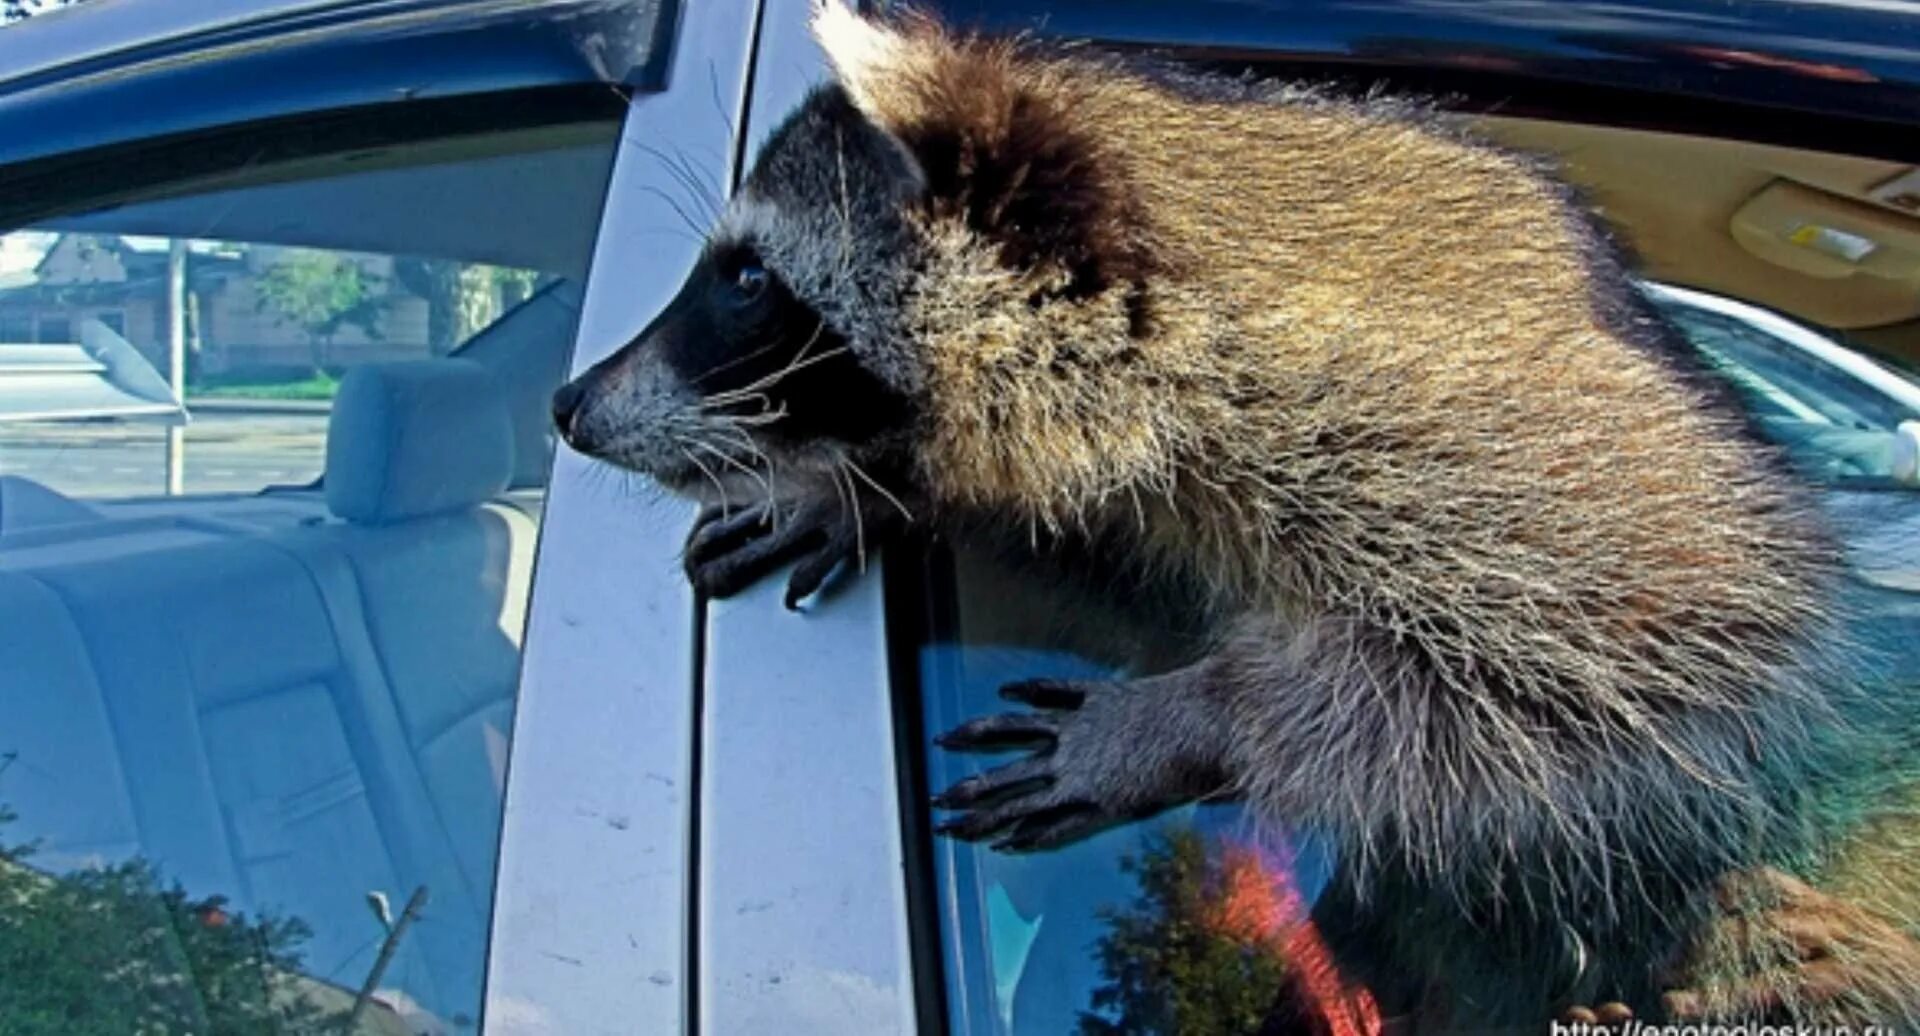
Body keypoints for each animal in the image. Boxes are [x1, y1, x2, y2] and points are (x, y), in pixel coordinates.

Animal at [552, 2, 1920, 1028]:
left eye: (744, 279)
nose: (568, 405)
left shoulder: (1512, 454)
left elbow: (1616, 670)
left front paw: (1201, 714)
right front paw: (864, 488)